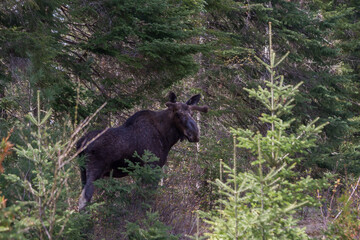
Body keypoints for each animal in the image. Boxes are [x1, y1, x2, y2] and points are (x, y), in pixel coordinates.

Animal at [77, 92, 210, 210]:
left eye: (192, 113)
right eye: (177, 114)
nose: (195, 133)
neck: (166, 137)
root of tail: (81, 143)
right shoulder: (152, 167)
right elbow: (148, 198)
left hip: (83, 171)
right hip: (95, 170)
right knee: (84, 198)